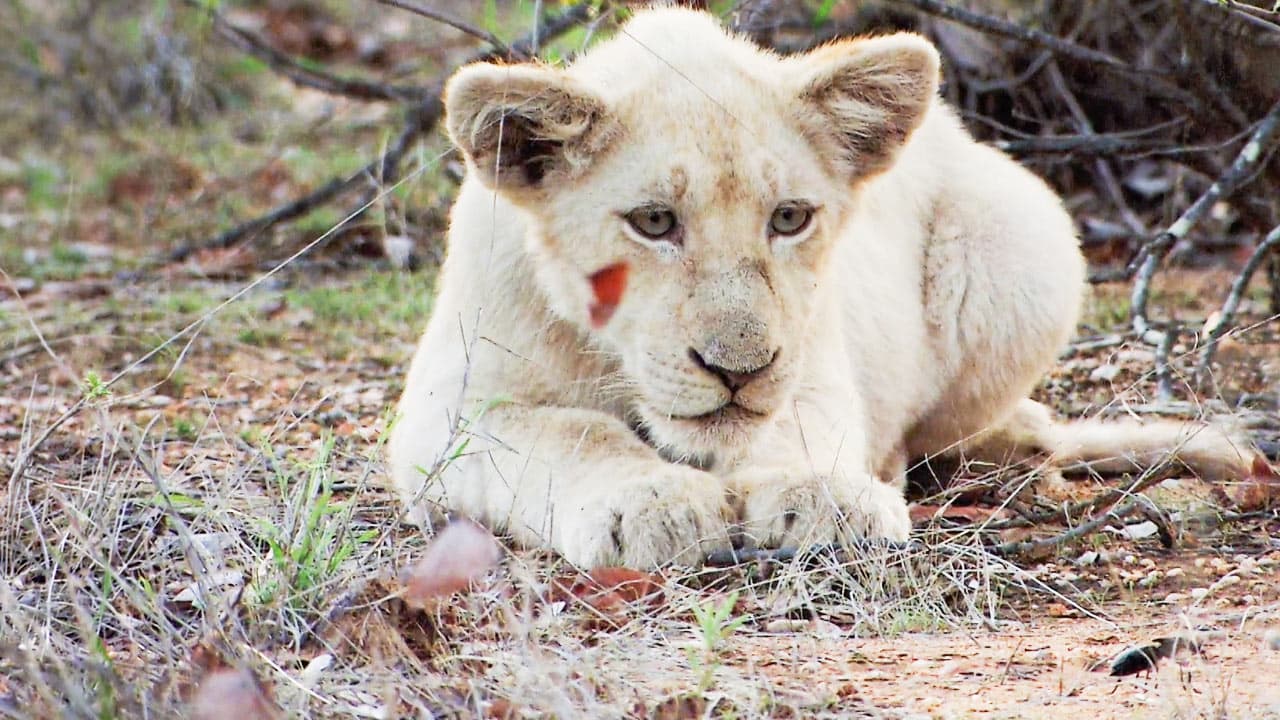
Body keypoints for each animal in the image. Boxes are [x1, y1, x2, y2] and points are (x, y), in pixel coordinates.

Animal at [387, 7, 1254, 568]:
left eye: (790, 218)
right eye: (655, 222)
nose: (736, 371)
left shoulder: (814, 364)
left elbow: (792, 426)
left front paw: (824, 499)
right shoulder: (448, 411)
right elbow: (570, 434)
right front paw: (652, 503)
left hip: (1026, 237)